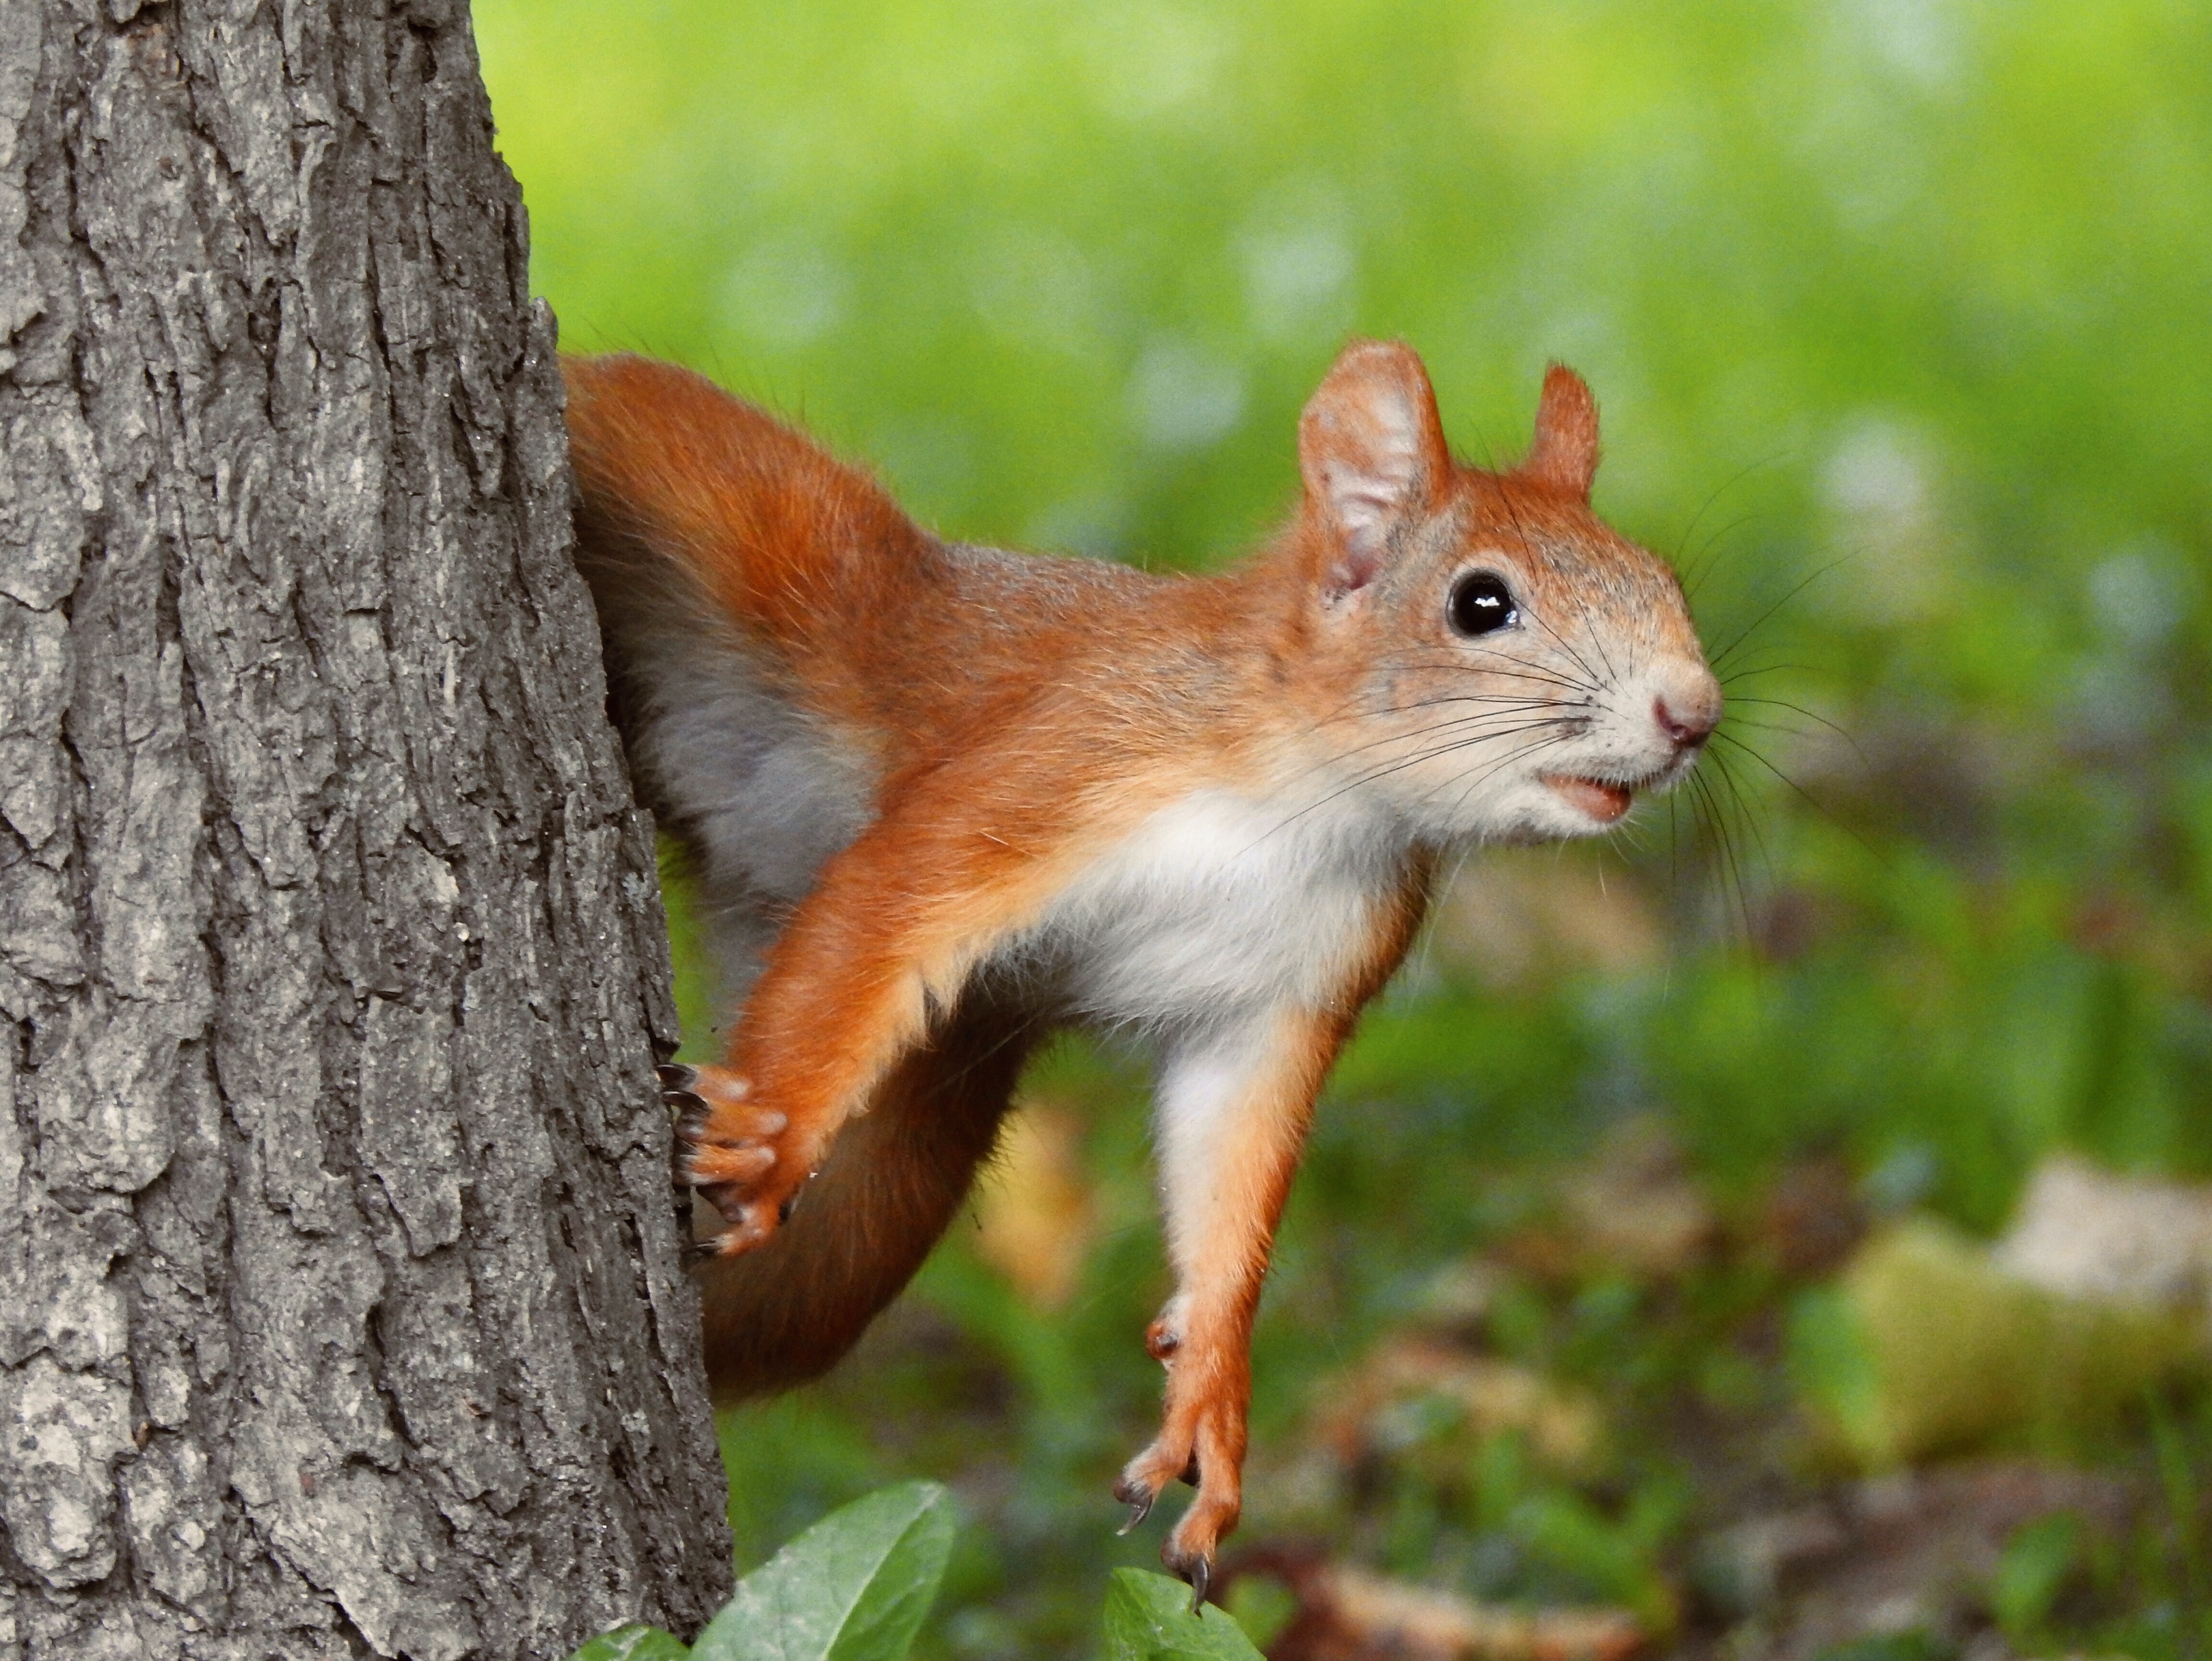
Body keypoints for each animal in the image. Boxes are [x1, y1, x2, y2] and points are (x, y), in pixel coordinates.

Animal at [562, 340, 1716, 1601]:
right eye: (1480, 604)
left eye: (1663, 575)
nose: (1694, 713)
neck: (1309, 792)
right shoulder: (1062, 763)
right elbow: (892, 900)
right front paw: (770, 1130)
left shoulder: (1287, 992)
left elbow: (1232, 1164)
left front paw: (1211, 1386)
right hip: (743, 511)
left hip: (900, 1148)